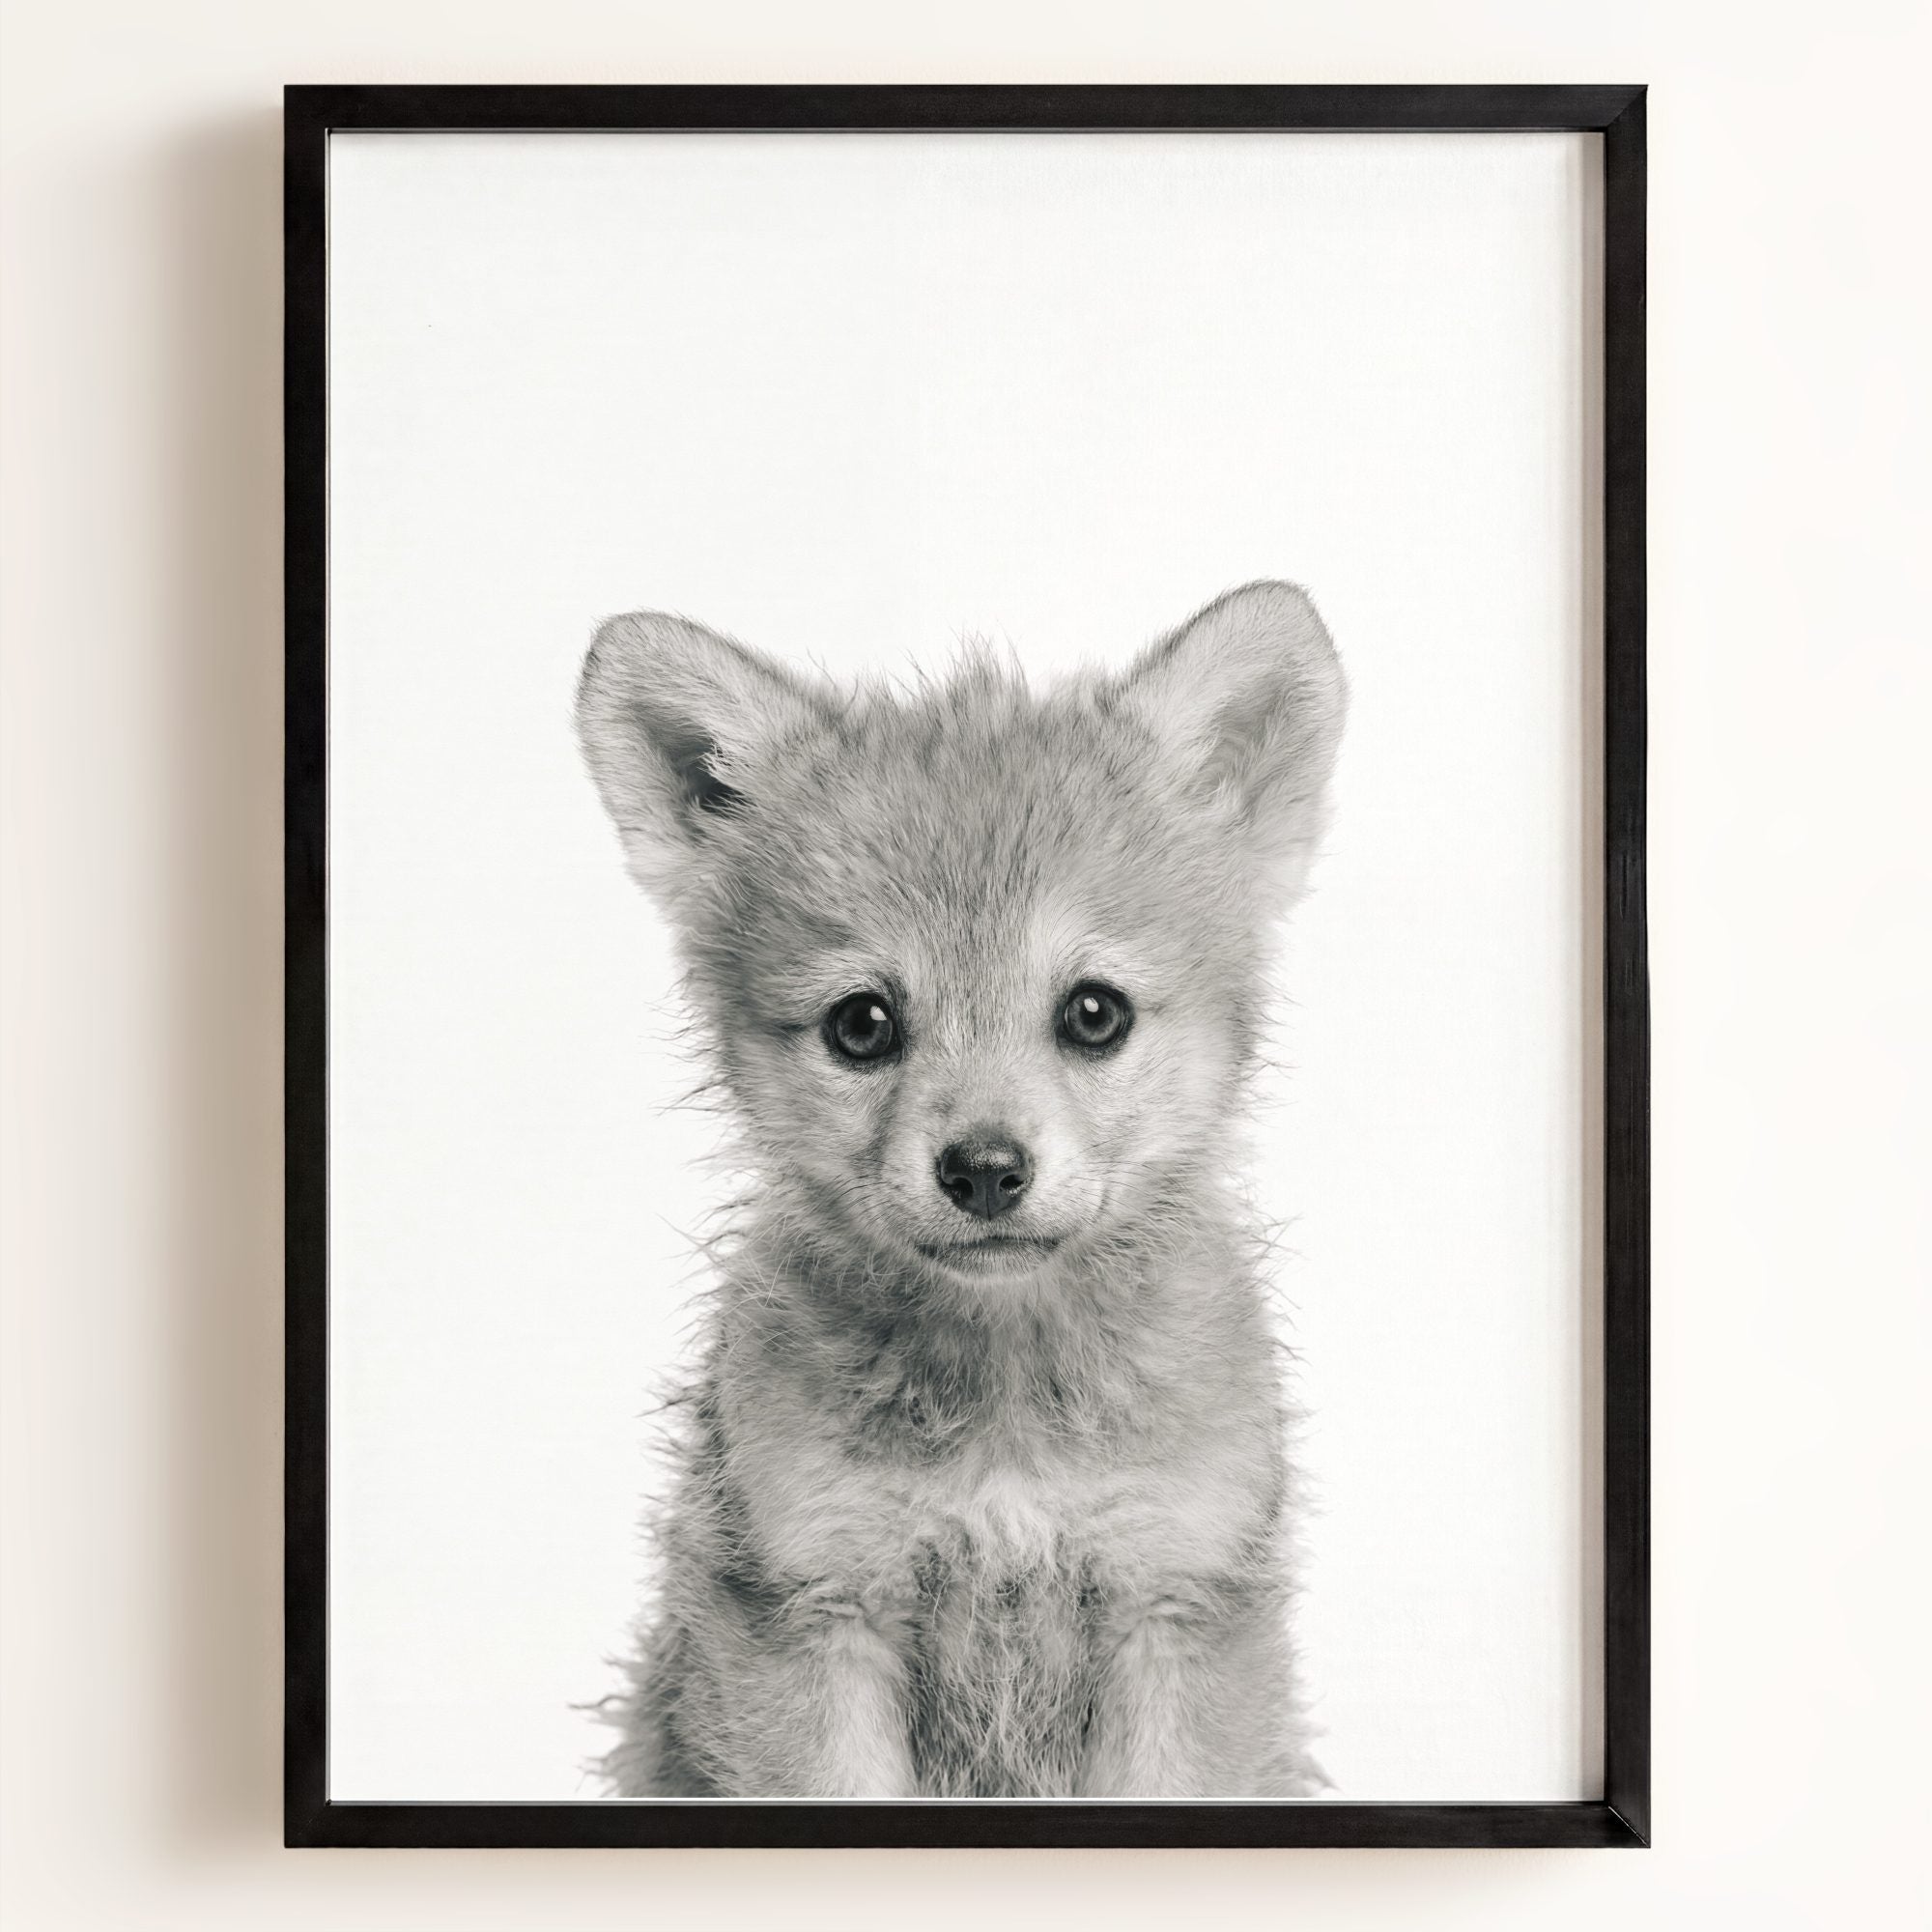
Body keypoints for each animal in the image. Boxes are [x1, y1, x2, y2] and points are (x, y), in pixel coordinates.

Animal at [576, 581, 1347, 1798]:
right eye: (861, 1022)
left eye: (1093, 1011)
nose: (984, 1169)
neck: (1007, 1417)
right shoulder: (812, 1606)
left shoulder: (1172, 1598)